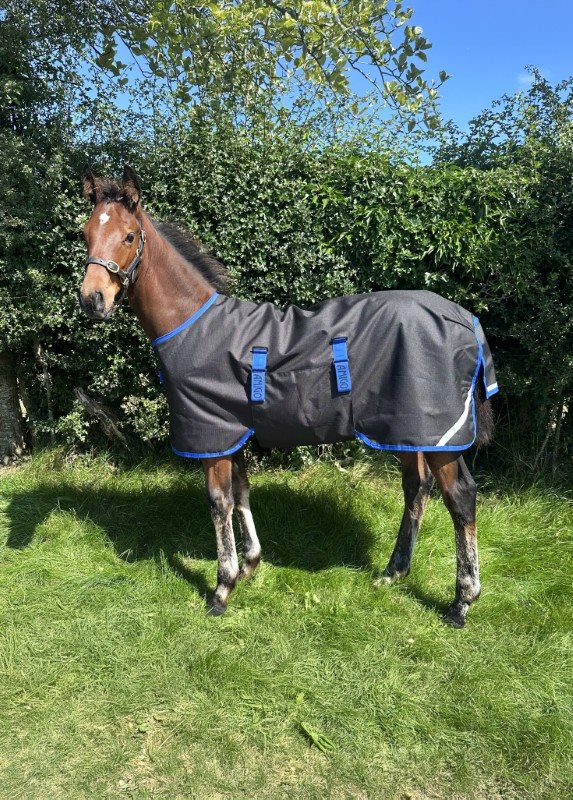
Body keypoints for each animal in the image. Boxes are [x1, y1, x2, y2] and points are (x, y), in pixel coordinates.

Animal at [79, 165, 497, 628]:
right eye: (85, 233)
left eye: (129, 236)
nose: (92, 299)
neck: (194, 326)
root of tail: (464, 318)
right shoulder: (234, 432)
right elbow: (242, 491)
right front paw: (250, 564)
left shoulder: (212, 434)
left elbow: (219, 502)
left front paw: (222, 588)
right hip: (406, 430)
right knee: (417, 488)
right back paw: (393, 572)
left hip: (440, 435)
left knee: (460, 499)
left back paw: (462, 601)